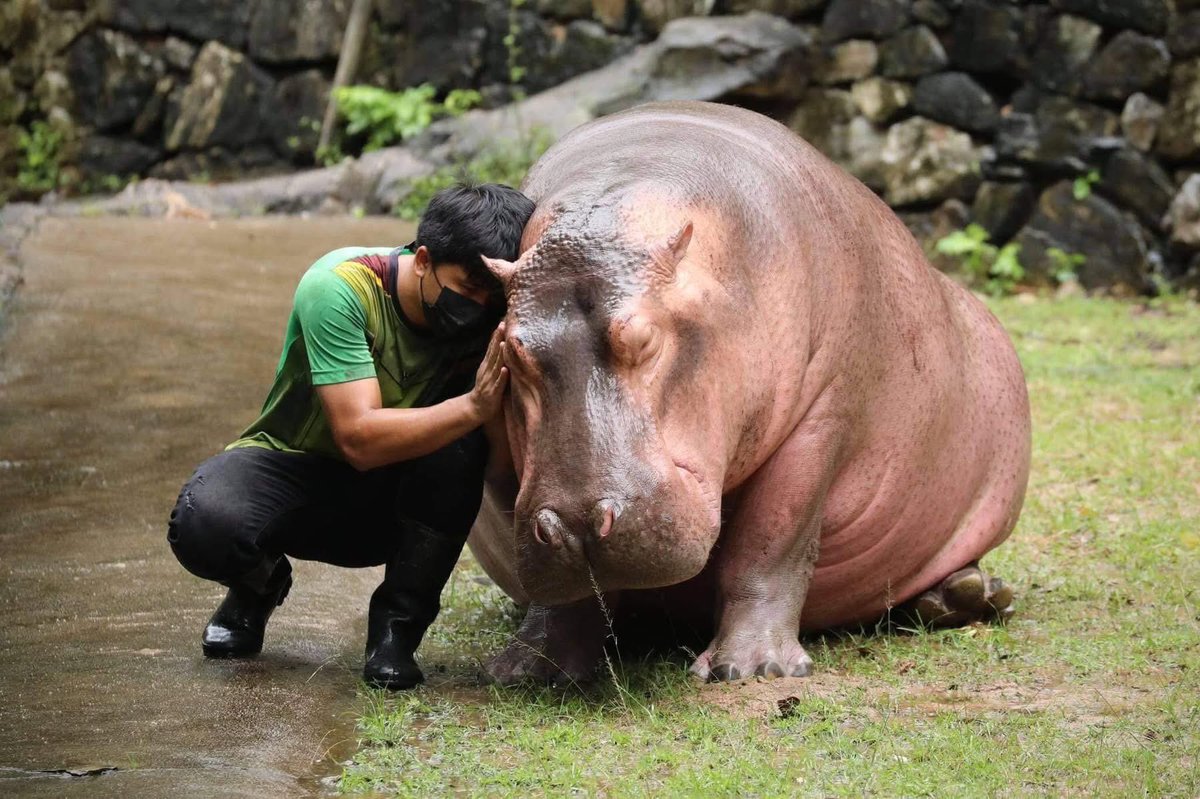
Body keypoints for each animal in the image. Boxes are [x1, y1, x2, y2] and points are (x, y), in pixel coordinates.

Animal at [468, 100, 1030, 683]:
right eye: (509, 349)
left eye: (646, 338)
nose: (577, 525)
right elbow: (572, 594)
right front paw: (527, 671)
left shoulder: (822, 415)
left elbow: (770, 543)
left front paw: (753, 670)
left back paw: (971, 595)